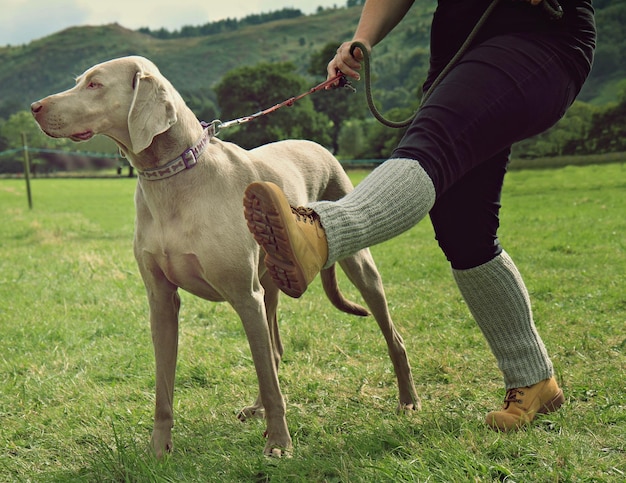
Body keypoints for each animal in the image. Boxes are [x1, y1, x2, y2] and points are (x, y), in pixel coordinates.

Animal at [30, 56, 420, 458]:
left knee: (391, 337)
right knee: (274, 350)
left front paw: (279, 443)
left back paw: (407, 400)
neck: (174, 176)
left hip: (355, 261)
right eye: (80, 80)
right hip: (271, 281)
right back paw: (257, 409)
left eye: (95, 84)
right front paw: (159, 449)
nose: (34, 107)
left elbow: (268, 378)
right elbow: (163, 388)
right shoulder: (161, 300)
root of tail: (319, 145)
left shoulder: (244, 295)